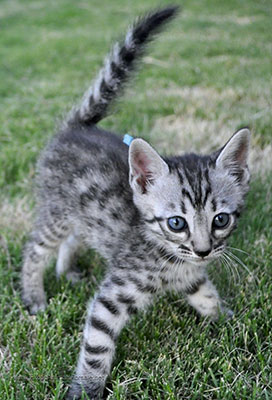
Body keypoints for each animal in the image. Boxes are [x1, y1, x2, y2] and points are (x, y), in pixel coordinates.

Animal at [21, 4, 251, 398]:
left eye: (221, 219)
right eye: (176, 223)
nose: (204, 250)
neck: (169, 256)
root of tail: (78, 126)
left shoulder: (191, 275)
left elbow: (206, 294)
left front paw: (227, 321)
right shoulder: (113, 297)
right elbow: (97, 346)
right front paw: (86, 388)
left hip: (82, 216)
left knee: (74, 238)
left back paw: (67, 271)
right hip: (56, 212)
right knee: (35, 249)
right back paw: (34, 293)